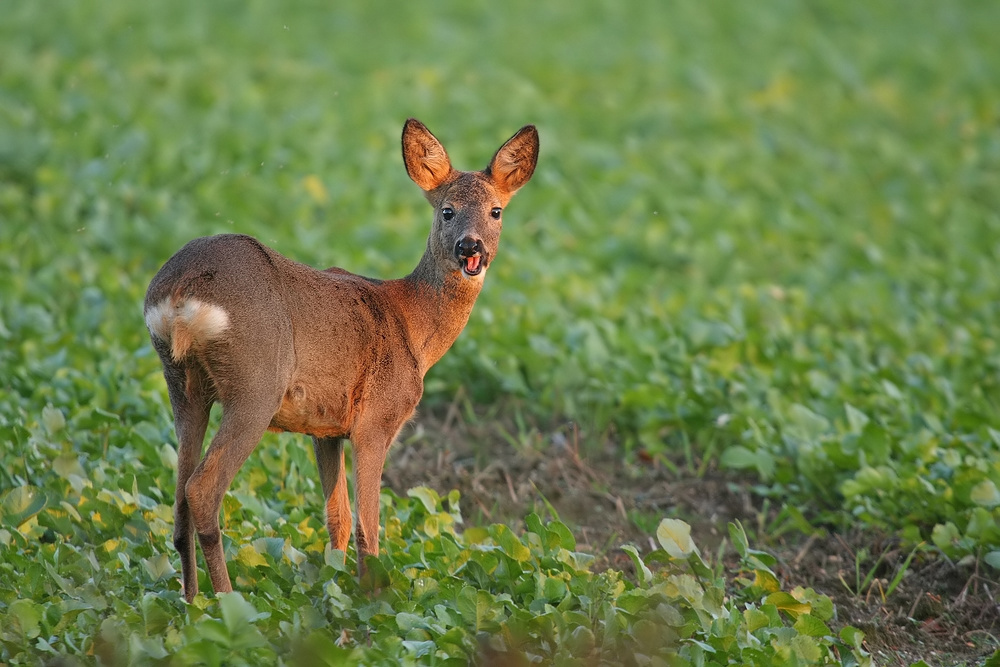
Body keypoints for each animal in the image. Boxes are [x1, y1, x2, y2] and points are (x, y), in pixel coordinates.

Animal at [144, 118, 536, 600]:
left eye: (496, 211)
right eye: (447, 210)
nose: (470, 247)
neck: (414, 327)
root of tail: (180, 290)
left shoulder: (325, 428)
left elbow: (338, 520)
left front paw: (335, 592)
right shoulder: (376, 421)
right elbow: (370, 528)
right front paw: (373, 601)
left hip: (183, 385)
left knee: (179, 496)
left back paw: (191, 601)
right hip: (256, 385)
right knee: (202, 488)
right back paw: (228, 601)